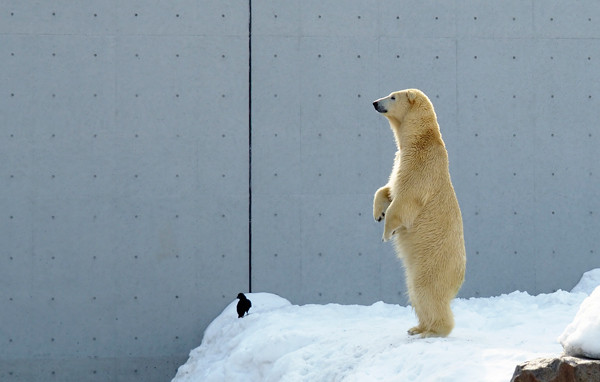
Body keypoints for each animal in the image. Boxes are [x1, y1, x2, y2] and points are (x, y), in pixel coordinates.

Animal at [372, 89, 466, 338]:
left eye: (392, 97)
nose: (375, 103)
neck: (421, 139)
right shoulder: (400, 160)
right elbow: (388, 189)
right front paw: (378, 213)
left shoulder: (420, 165)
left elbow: (405, 200)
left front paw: (387, 233)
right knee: (414, 291)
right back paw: (417, 327)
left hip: (434, 261)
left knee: (427, 290)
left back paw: (433, 331)